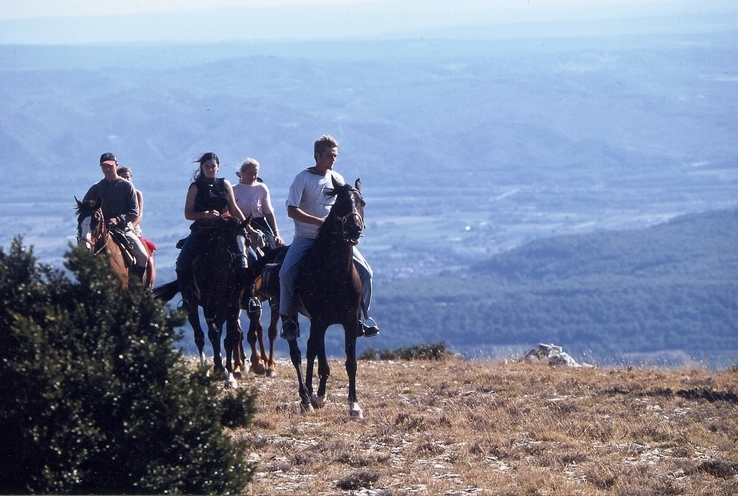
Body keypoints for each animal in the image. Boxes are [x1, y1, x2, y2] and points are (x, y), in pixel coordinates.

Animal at [153, 218, 250, 388]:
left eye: (247, 240)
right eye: (230, 241)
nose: (242, 267)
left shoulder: (232, 306)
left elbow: (229, 338)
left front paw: (229, 376)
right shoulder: (210, 305)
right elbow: (213, 334)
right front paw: (220, 369)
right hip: (192, 305)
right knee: (200, 336)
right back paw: (206, 370)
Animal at [288, 178, 366, 418]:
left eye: (362, 203)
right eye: (340, 203)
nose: (354, 228)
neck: (335, 275)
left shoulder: (350, 321)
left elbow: (351, 363)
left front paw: (354, 406)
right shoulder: (320, 320)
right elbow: (320, 359)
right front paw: (317, 396)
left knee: (312, 348)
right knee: (301, 351)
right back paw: (307, 397)